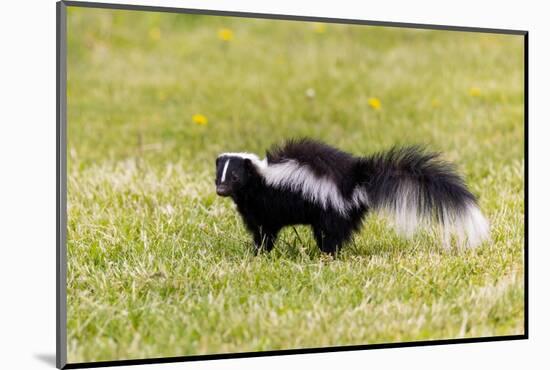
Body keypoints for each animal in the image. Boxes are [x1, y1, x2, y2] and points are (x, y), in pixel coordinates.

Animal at [216, 137, 492, 256]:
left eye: (235, 177)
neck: (261, 178)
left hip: (330, 207)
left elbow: (265, 232)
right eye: (218, 176)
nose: (220, 191)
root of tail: (356, 180)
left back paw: (327, 255)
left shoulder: (265, 206)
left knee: (330, 235)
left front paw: (258, 252)